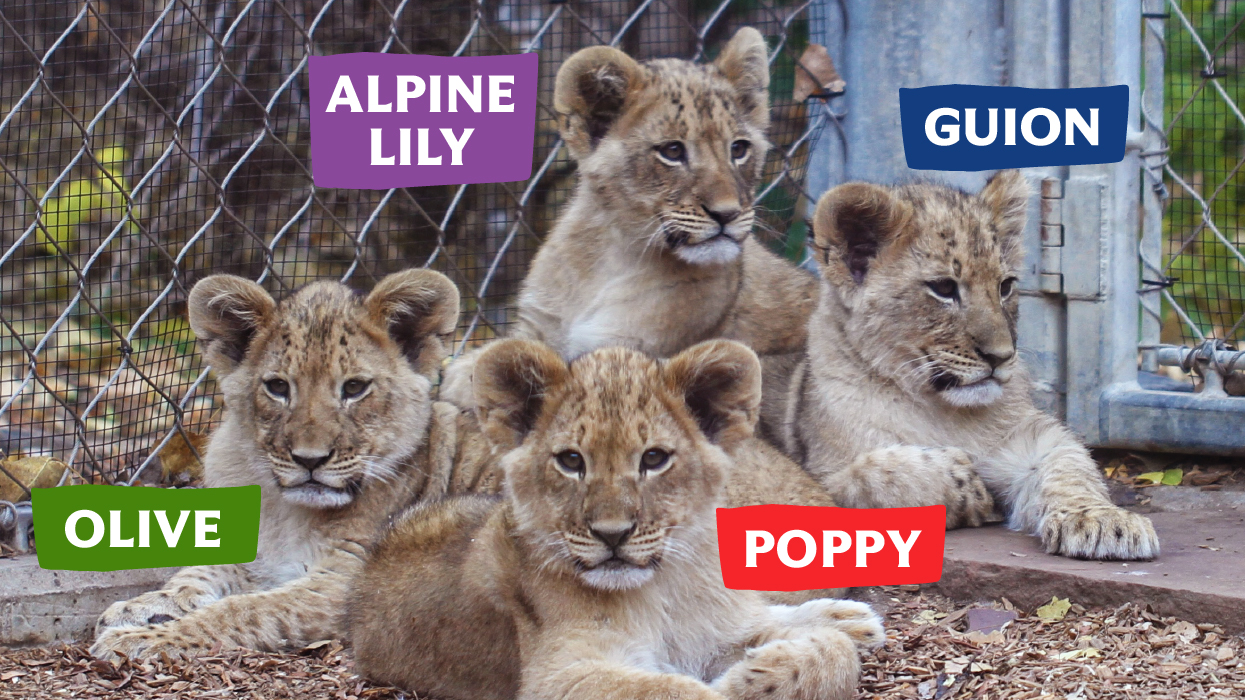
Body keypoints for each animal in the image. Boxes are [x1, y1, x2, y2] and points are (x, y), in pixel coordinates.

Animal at [90, 269, 500, 660]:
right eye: (278, 387)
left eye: (354, 388)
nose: (310, 459)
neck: (283, 511)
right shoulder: (262, 557)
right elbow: (200, 573)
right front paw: (140, 607)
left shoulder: (341, 585)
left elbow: (243, 611)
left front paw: (138, 639)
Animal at [348, 339, 883, 700]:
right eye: (570, 461)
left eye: (654, 459)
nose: (613, 535)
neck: (665, 589)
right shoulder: (557, 675)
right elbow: (679, 691)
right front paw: (749, 680)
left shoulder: (709, 633)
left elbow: (835, 655)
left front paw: (791, 655)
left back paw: (850, 618)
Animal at [441, 26, 817, 407]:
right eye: (672, 151)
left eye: (739, 149)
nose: (728, 213)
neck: (609, 257)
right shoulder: (539, 325)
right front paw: (462, 372)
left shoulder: (631, 352)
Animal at [762, 170, 1160, 560]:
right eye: (943, 288)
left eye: (1005, 286)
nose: (1001, 356)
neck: (944, 411)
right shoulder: (820, 477)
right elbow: (877, 477)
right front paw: (969, 488)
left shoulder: (1032, 438)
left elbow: (1070, 467)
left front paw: (1104, 523)